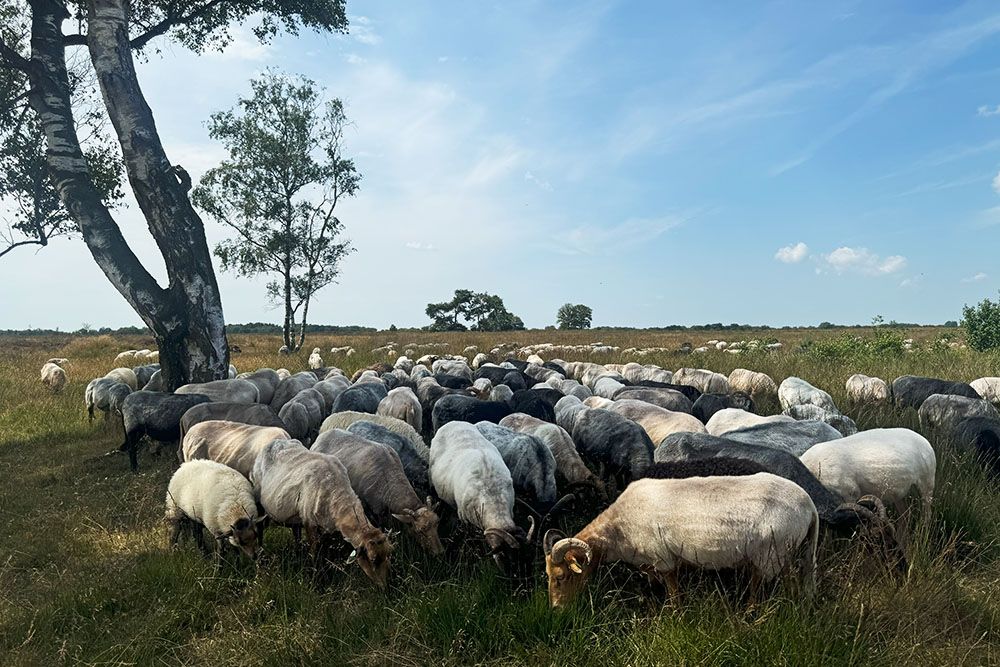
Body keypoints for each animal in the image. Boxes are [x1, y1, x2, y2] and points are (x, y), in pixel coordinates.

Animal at [252, 438, 392, 588]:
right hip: (259, 500)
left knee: (296, 532)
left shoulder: (326, 528)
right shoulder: (310, 523)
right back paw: (260, 556)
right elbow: (315, 554)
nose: (385, 587)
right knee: (259, 528)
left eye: (388, 554)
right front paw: (317, 580)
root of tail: (276, 440)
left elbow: (324, 553)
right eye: (373, 560)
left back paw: (297, 552)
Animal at [308, 430, 442, 556]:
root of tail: (323, 435)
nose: (439, 553)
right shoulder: (375, 509)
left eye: (437, 524)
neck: (390, 477)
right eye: (420, 531)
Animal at [544, 474, 816, 612]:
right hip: (783, 554)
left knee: (766, 590)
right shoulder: (650, 565)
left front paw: (675, 616)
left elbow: (674, 594)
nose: (556, 608)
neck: (618, 531)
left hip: (771, 555)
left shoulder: (664, 560)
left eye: (561, 577)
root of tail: (808, 503)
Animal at [796, 430, 936, 516]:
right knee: (905, 515)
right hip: (898, 493)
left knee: (927, 511)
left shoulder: (849, 493)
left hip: (927, 481)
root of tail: (925, 440)